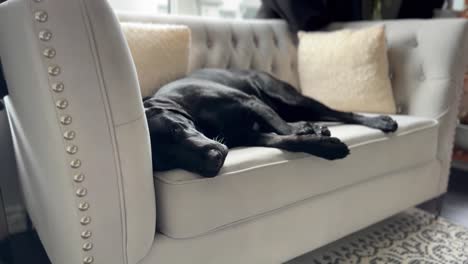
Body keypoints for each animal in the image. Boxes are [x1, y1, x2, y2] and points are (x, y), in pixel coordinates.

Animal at [144, 68, 396, 177]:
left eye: (176, 129)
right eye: (168, 162)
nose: (213, 162)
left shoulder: (250, 101)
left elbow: (284, 128)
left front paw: (312, 135)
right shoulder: (251, 134)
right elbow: (287, 140)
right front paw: (326, 146)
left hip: (286, 97)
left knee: (340, 113)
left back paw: (382, 121)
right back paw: (318, 127)